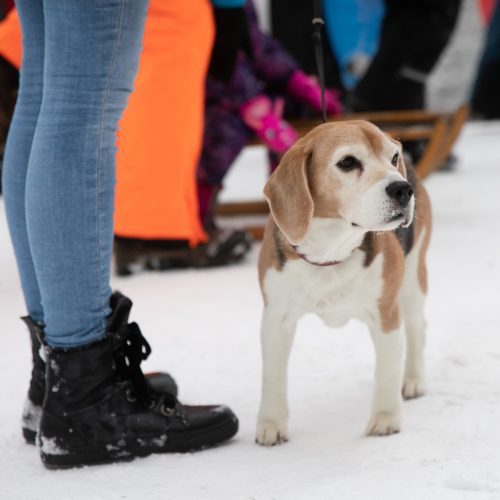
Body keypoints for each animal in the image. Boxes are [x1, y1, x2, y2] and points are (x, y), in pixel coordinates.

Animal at [256, 120, 432, 446]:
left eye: (392, 158)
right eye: (347, 162)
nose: (403, 189)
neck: (330, 253)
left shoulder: (386, 315)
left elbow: (387, 372)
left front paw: (386, 418)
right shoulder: (276, 319)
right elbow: (273, 375)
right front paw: (271, 423)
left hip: (413, 281)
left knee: (417, 328)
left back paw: (413, 380)